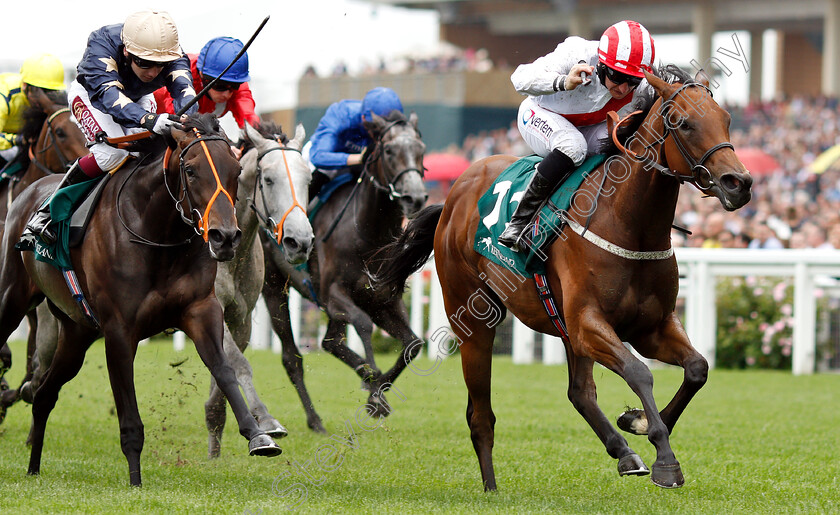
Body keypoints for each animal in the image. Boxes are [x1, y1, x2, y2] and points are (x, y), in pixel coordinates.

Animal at [0, 115, 278, 490]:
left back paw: (33, 467)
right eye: (190, 170)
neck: (159, 233)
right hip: (13, 299)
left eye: (235, 170)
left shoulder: (201, 310)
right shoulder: (119, 330)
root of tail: (29, 190)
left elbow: (224, 369)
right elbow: (128, 411)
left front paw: (257, 434)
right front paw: (135, 480)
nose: (225, 237)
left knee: (44, 395)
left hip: (76, 332)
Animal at [204, 119, 316, 458]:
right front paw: (266, 421)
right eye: (268, 179)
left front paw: (214, 453)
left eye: (309, 178)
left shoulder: (241, 318)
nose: (299, 242)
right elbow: (239, 364)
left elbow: (225, 374)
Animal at [262, 110, 430, 432]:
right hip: (274, 285)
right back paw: (315, 420)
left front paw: (377, 392)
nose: (415, 197)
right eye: (389, 151)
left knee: (330, 342)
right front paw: (374, 384)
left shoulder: (383, 299)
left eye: (421, 149)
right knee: (292, 357)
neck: (368, 233)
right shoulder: (334, 294)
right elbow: (363, 324)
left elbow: (413, 344)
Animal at [374, 69, 756, 492]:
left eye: (726, 119)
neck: (628, 224)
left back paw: (624, 453)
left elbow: (697, 368)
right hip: (474, 316)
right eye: (684, 123)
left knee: (580, 393)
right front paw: (666, 460)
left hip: (562, 325)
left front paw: (638, 422)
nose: (738, 182)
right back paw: (491, 488)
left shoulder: (650, 327)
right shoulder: (589, 322)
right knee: (481, 414)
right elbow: (639, 372)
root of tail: (455, 191)